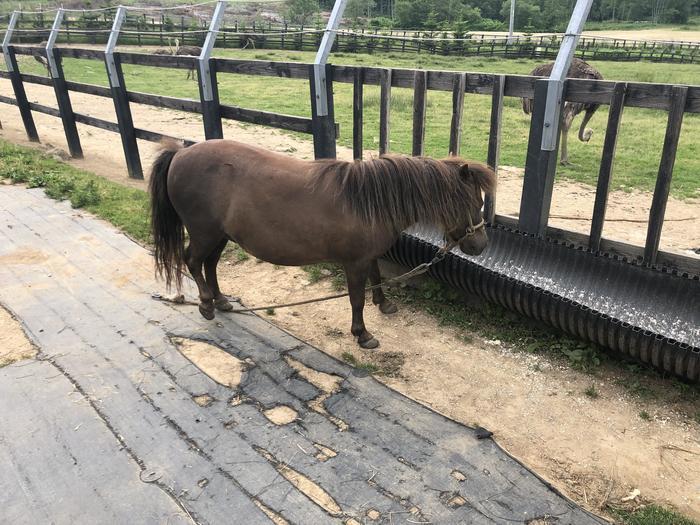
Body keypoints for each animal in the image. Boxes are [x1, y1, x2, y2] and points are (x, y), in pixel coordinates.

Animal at [150, 139, 494, 348]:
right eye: (471, 203)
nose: (480, 245)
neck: (369, 201)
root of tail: (180, 153)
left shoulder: (368, 257)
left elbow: (376, 278)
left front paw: (384, 304)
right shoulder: (354, 262)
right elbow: (356, 299)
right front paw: (362, 334)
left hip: (220, 235)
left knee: (209, 264)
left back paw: (221, 301)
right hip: (204, 233)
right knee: (193, 261)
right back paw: (207, 304)